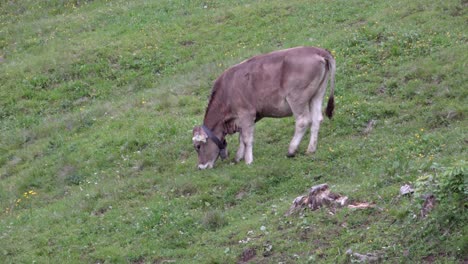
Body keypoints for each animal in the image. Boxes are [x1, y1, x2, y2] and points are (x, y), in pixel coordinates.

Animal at [192, 46, 334, 169]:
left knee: (303, 121)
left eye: (198, 146)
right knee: (317, 119)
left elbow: (246, 139)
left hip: (297, 97)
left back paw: (291, 150)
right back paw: (311, 149)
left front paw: (248, 161)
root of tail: (317, 50)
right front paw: (238, 157)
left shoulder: (246, 113)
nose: (201, 167)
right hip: (318, 93)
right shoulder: (241, 119)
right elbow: (241, 138)